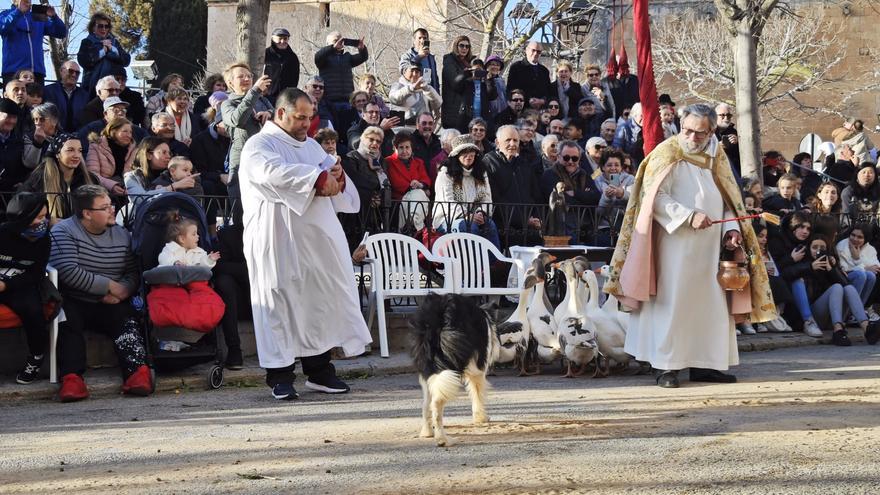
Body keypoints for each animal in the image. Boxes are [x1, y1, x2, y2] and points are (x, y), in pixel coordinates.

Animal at [410, 292, 498, 448]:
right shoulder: (478, 371)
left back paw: (427, 432)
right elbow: (477, 394)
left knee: (427, 402)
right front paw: (481, 418)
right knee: (437, 403)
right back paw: (442, 439)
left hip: (427, 365)